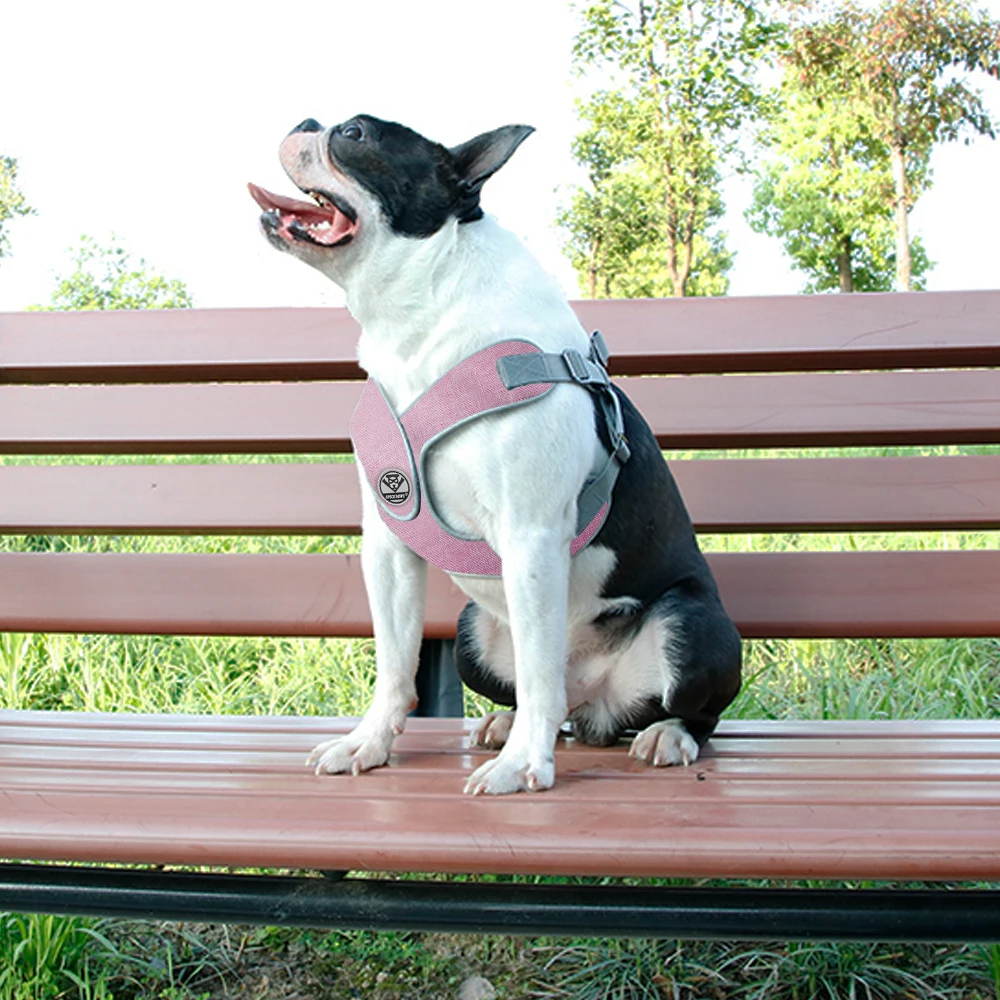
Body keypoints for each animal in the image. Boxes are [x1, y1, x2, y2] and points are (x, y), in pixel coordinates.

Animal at [248, 113, 744, 792]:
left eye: (354, 134)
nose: (305, 122)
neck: (421, 321)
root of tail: (596, 707)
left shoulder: (530, 534)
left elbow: (537, 673)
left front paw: (522, 767)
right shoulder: (389, 542)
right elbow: (394, 661)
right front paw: (368, 744)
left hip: (692, 625)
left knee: (686, 709)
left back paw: (665, 734)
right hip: (469, 631)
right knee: (544, 693)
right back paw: (509, 724)